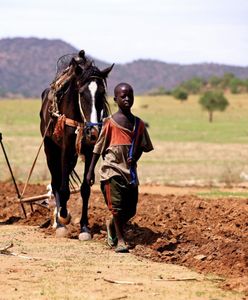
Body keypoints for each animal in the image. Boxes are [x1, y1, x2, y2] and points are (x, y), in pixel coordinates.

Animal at [40, 50, 114, 240]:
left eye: (102, 94)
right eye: (82, 93)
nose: (93, 132)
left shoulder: (89, 151)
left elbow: (85, 188)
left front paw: (84, 228)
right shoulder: (65, 150)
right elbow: (63, 188)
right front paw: (63, 217)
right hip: (50, 150)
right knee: (56, 182)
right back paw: (59, 222)